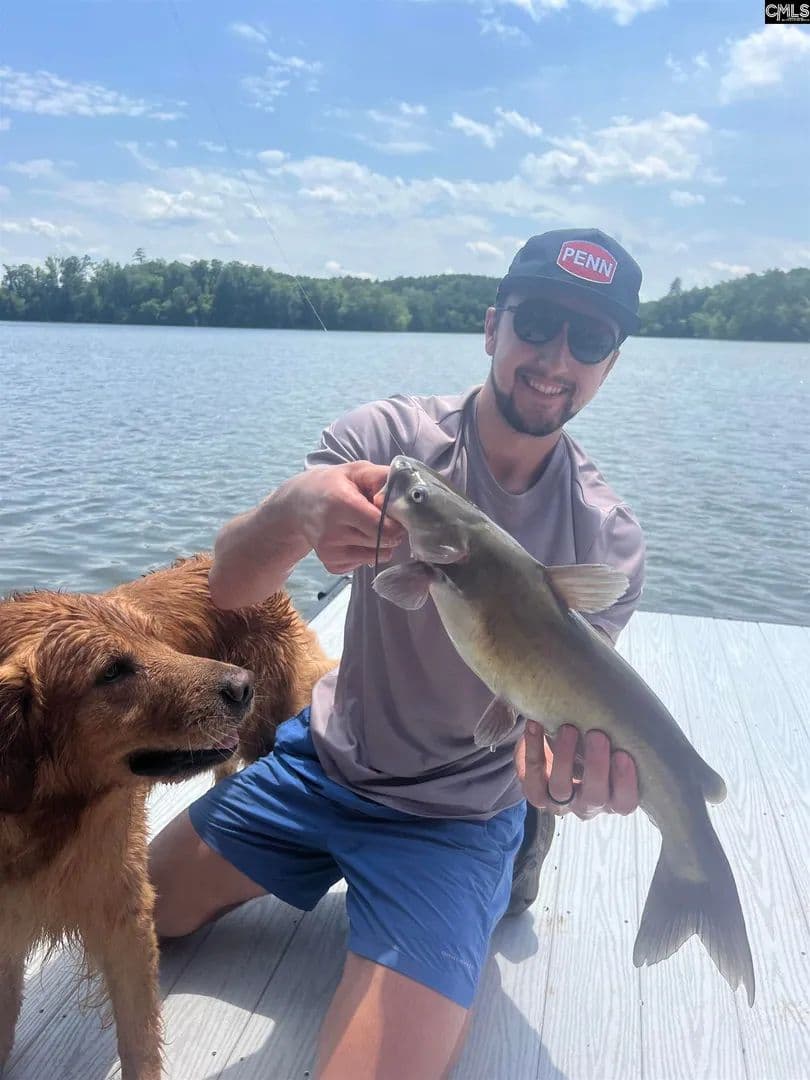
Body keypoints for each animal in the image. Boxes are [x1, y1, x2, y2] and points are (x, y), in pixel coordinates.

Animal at [0, 554, 336, 1079]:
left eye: (156, 639)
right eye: (112, 671)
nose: (244, 686)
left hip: (274, 719)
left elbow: (138, 1045)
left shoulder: (126, 917)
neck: (44, 817)